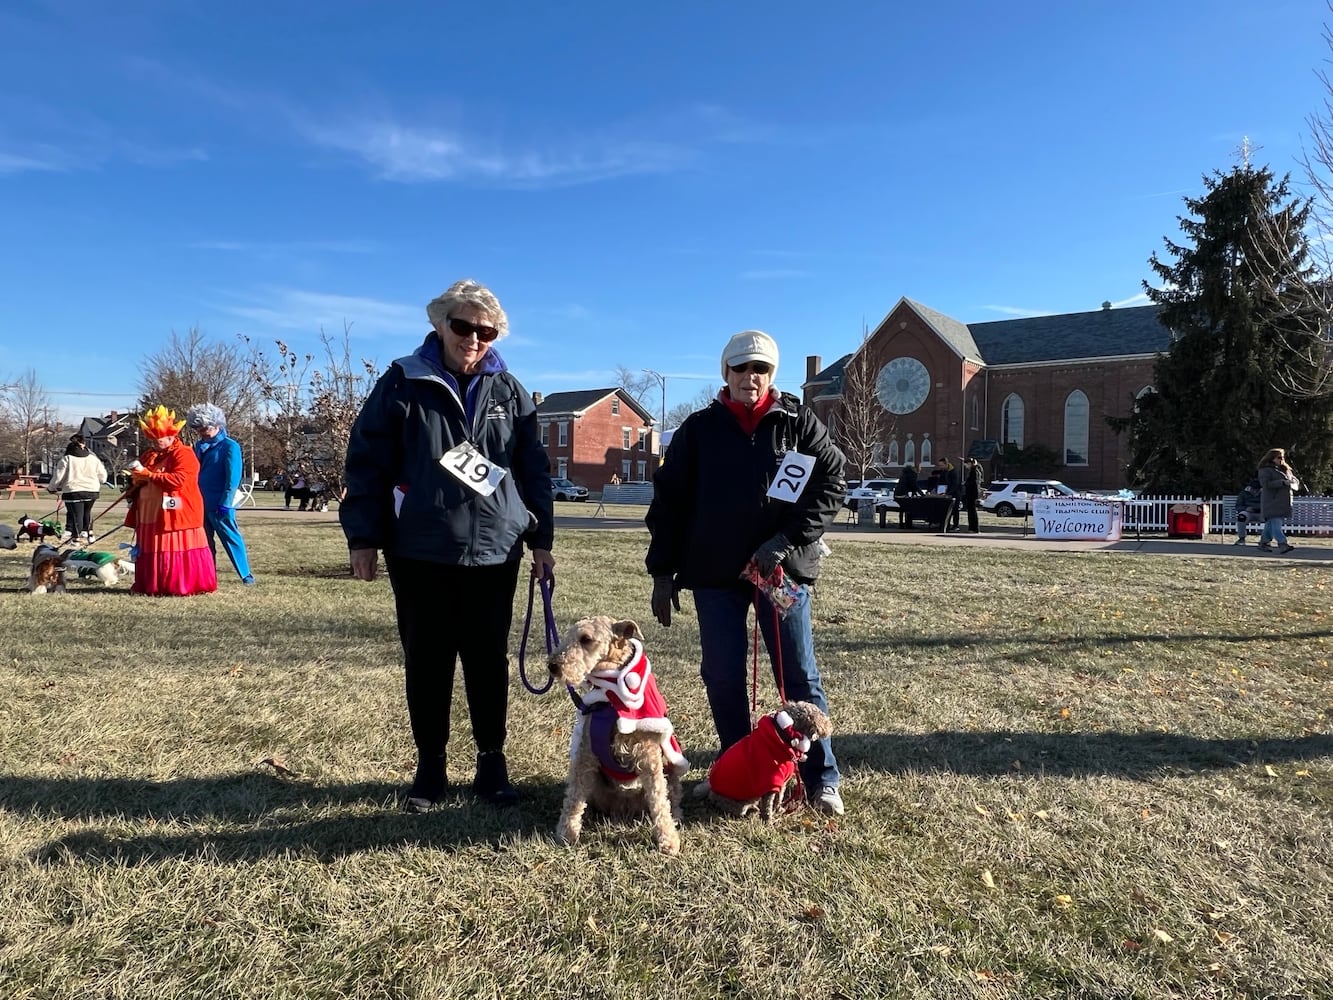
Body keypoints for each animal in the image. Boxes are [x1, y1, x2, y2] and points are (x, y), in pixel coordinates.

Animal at [549, 616, 693, 858]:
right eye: (569, 636)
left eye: (586, 639)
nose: (553, 665)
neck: (611, 696)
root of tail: (623, 809)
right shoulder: (586, 754)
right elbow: (574, 797)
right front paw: (566, 833)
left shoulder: (648, 756)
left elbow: (658, 800)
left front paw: (668, 841)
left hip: (670, 770)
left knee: (671, 798)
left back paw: (676, 817)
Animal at [698, 698, 831, 826]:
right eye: (821, 715)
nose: (830, 727)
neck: (784, 739)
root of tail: (711, 790)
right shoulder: (770, 784)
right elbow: (767, 806)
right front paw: (768, 822)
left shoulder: (782, 782)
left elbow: (779, 798)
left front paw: (779, 810)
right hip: (739, 802)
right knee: (737, 810)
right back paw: (751, 810)